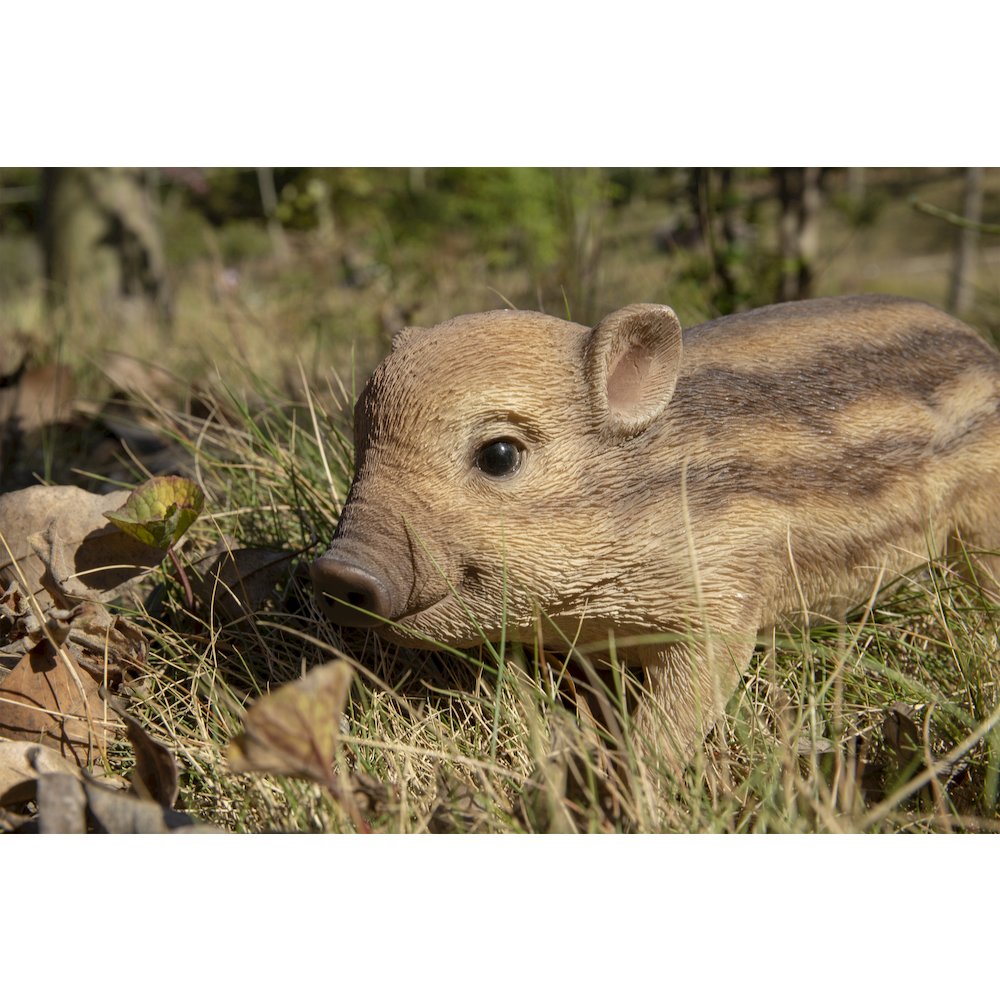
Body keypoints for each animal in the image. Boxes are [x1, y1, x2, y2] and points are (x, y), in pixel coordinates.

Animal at [310, 295, 1000, 762]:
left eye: (499, 455)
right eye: (360, 442)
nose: (336, 570)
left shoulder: (724, 591)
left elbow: (686, 703)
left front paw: (637, 775)